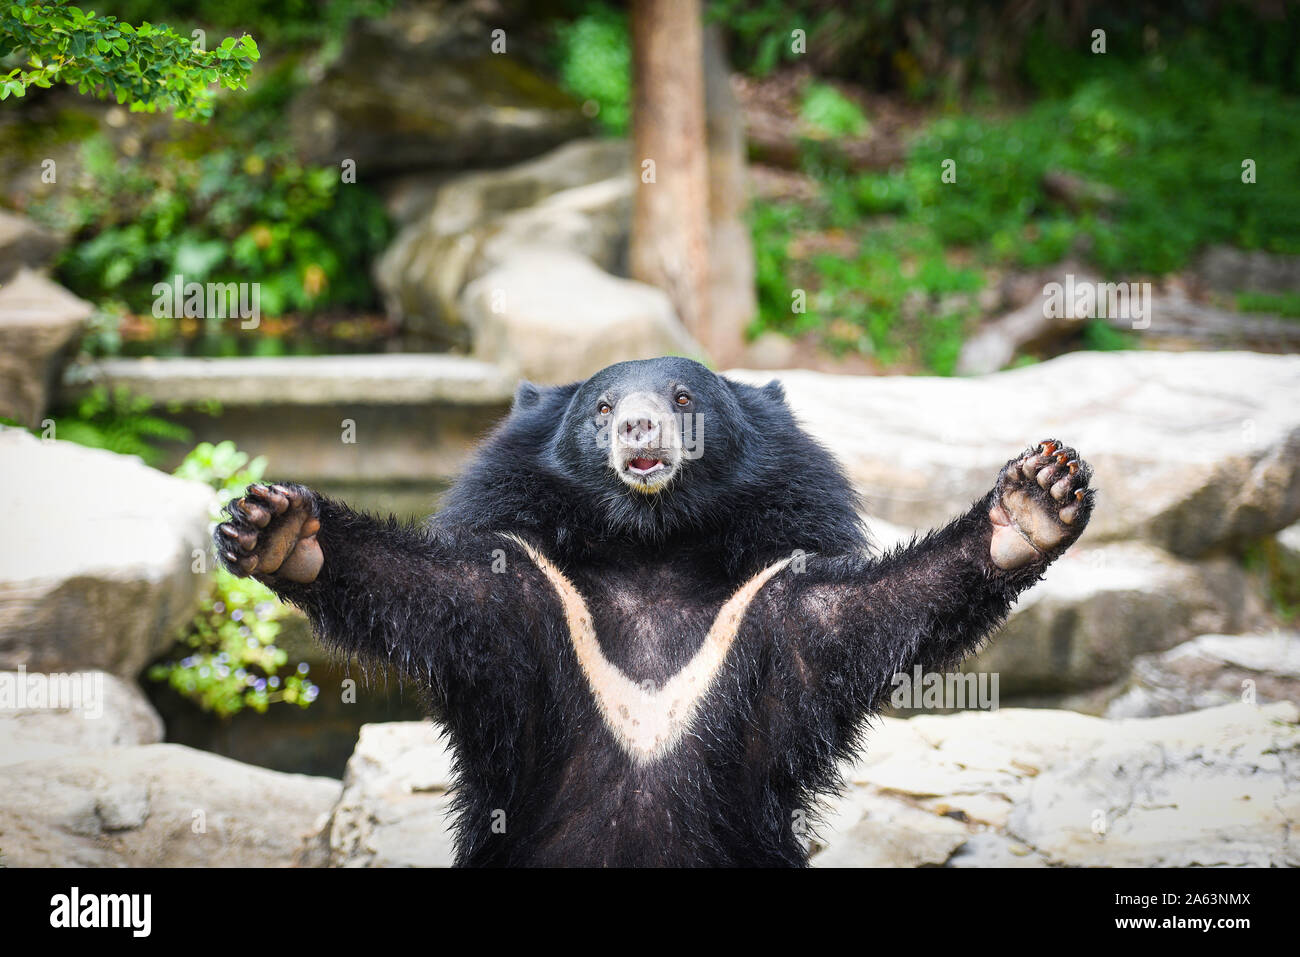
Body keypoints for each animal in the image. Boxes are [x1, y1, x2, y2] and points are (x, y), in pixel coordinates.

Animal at [214, 355, 1094, 867]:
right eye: (602, 408)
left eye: (681, 396)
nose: (641, 425)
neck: (651, 549)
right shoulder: (529, 600)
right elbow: (432, 591)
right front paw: (277, 527)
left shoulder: (767, 609)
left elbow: (863, 611)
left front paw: (1036, 499)